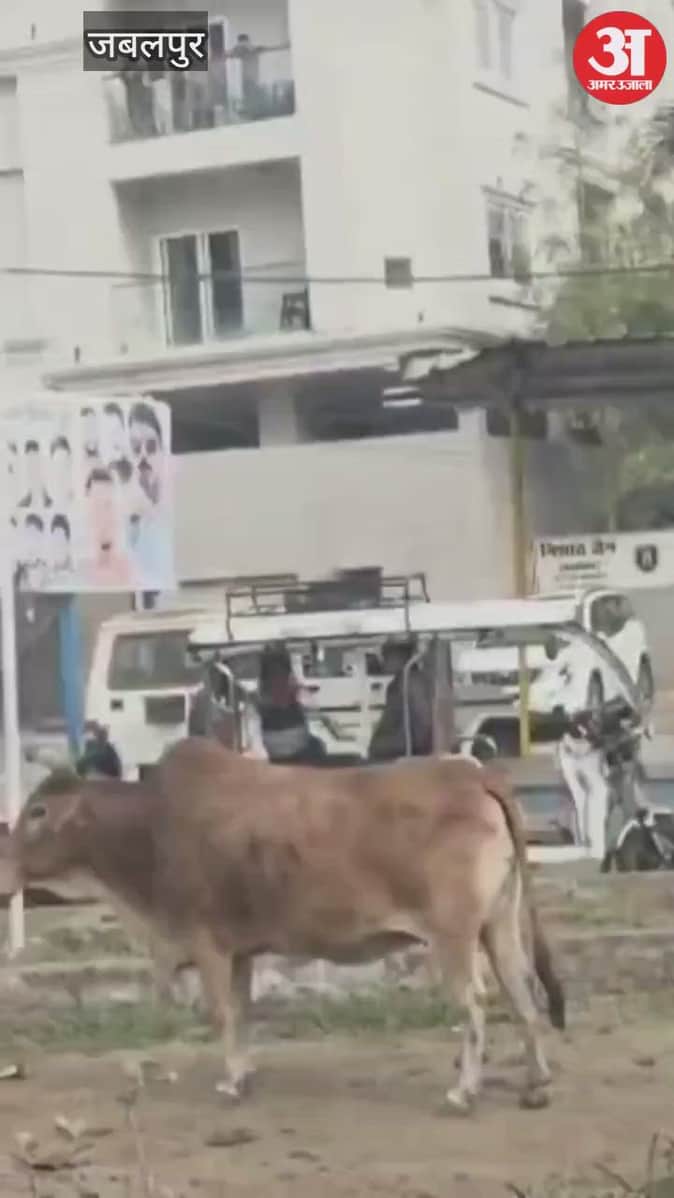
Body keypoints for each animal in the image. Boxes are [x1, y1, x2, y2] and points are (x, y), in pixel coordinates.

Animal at [9, 739, 565, 1114]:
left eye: (38, 811)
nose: (4, 867)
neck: (150, 827)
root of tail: (473, 775)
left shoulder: (208, 943)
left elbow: (221, 1014)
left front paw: (232, 1084)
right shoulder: (239, 951)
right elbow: (242, 1012)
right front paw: (245, 1074)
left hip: (453, 936)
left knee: (475, 1003)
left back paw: (463, 1092)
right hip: (497, 926)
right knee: (522, 993)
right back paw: (536, 1084)